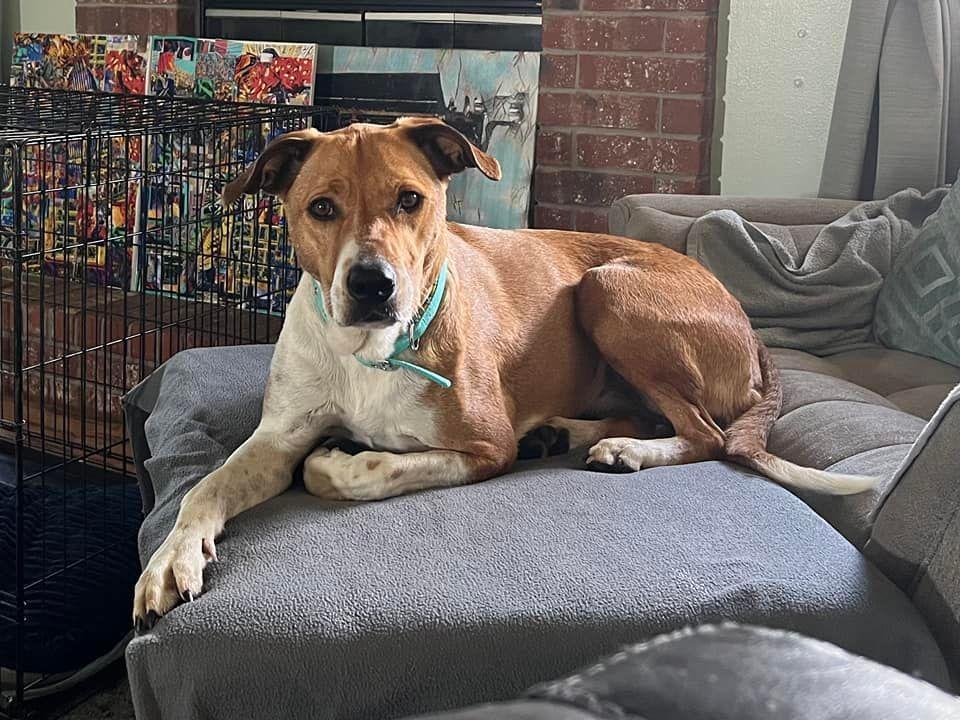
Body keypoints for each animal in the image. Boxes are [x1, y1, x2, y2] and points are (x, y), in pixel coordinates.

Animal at [131, 118, 872, 632]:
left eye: (410, 200)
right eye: (320, 207)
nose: (373, 285)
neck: (373, 348)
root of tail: (747, 322)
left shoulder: (486, 447)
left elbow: (358, 468)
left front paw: (343, 459)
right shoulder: (277, 436)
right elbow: (205, 487)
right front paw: (169, 558)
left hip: (606, 289)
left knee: (706, 434)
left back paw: (620, 449)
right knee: (652, 414)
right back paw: (572, 435)